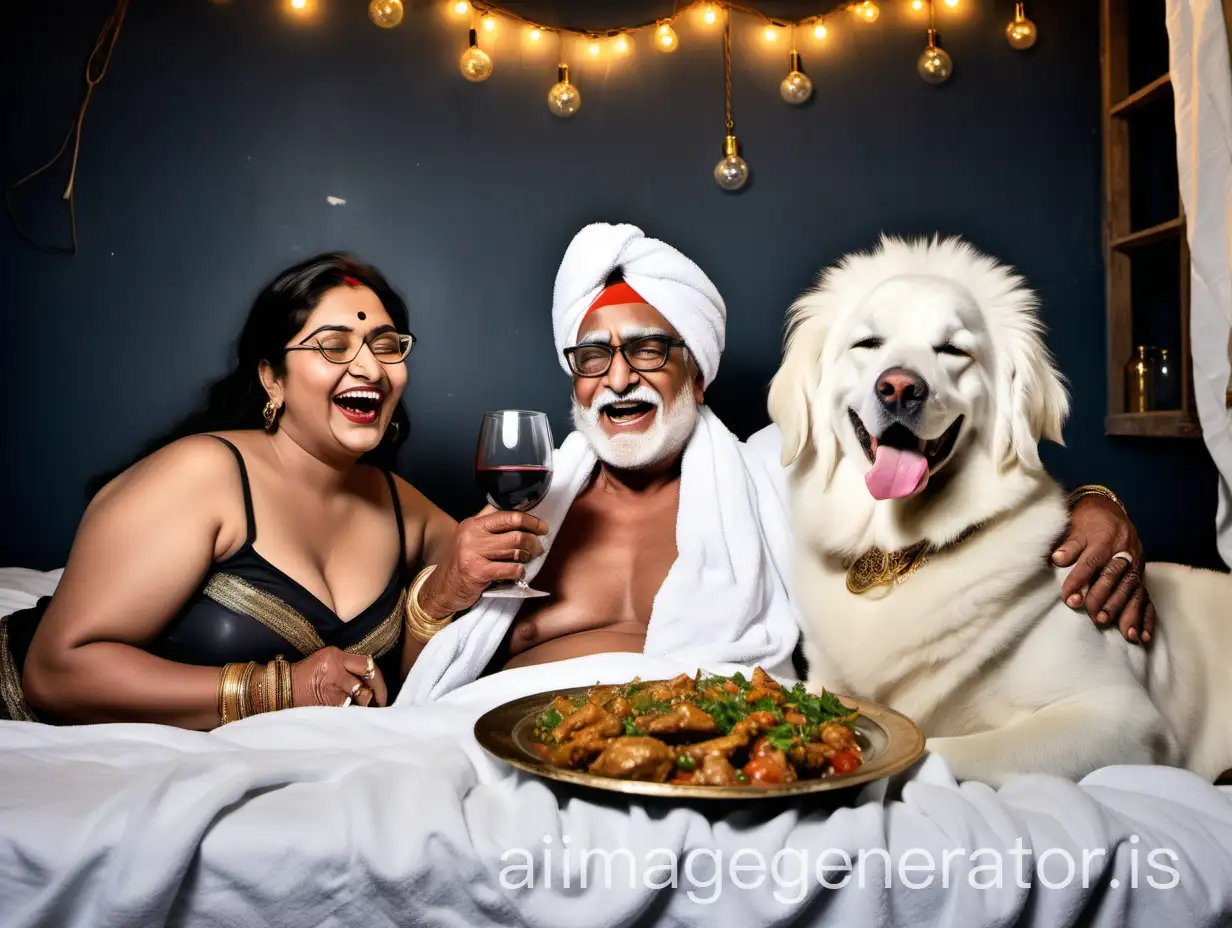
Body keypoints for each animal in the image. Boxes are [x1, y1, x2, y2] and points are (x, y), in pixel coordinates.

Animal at [768, 235, 1232, 783]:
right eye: (868, 344)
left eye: (953, 350)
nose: (900, 387)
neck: (897, 552)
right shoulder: (825, 683)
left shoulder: (1119, 717)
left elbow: (934, 752)